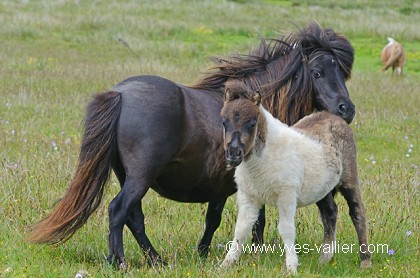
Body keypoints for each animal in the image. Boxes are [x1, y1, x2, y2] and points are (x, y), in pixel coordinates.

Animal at [27, 22, 354, 268]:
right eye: (317, 72)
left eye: (341, 72)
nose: (347, 109)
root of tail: (120, 93)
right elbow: (243, 220)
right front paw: (244, 254)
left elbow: (225, 219)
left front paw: (208, 253)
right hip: (141, 175)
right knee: (118, 210)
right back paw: (118, 261)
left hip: (126, 175)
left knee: (134, 217)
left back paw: (156, 260)